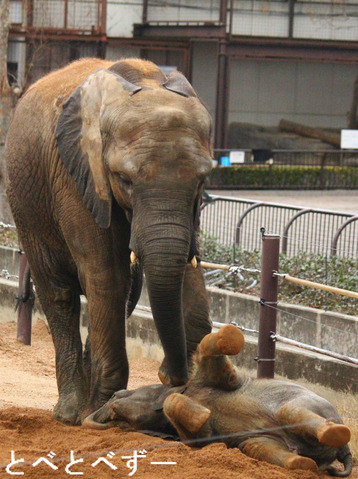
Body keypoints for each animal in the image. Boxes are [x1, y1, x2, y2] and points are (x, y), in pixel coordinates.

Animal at [4, 58, 213, 426]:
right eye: (124, 179)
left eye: (202, 180)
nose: (171, 377)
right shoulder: (77, 176)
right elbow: (106, 273)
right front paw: (100, 412)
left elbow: (185, 262)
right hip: (26, 207)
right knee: (60, 294)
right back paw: (71, 413)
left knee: (124, 295)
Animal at [84, 326, 352, 476]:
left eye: (117, 395)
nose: (112, 401)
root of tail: (343, 452)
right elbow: (200, 436)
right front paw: (202, 414)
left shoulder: (217, 378)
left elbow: (208, 352)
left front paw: (231, 334)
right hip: (261, 442)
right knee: (264, 449)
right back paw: (302, 464)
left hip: (308, 405)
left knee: (292, 412)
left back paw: (335, 432)